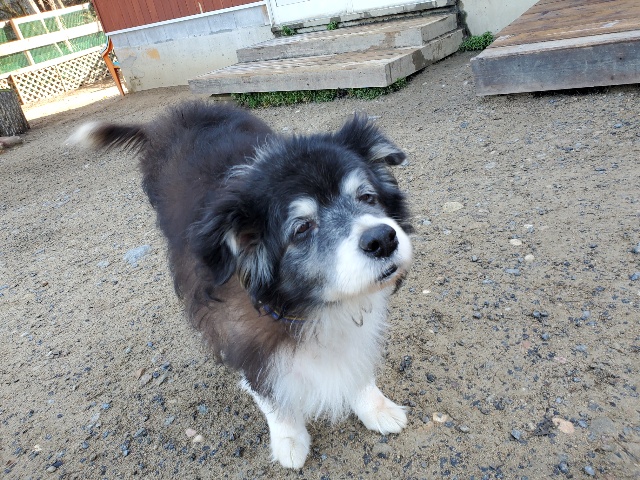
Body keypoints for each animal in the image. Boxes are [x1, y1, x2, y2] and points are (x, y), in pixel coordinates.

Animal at [71, 101, 413, 468]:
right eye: (302, 228)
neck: (304, 303)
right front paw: (289, 439)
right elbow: (270, 393)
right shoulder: (241, 338)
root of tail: (168, 118)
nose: (382, 239)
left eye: (368, 197)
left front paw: (375, 407)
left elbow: (357, 368)